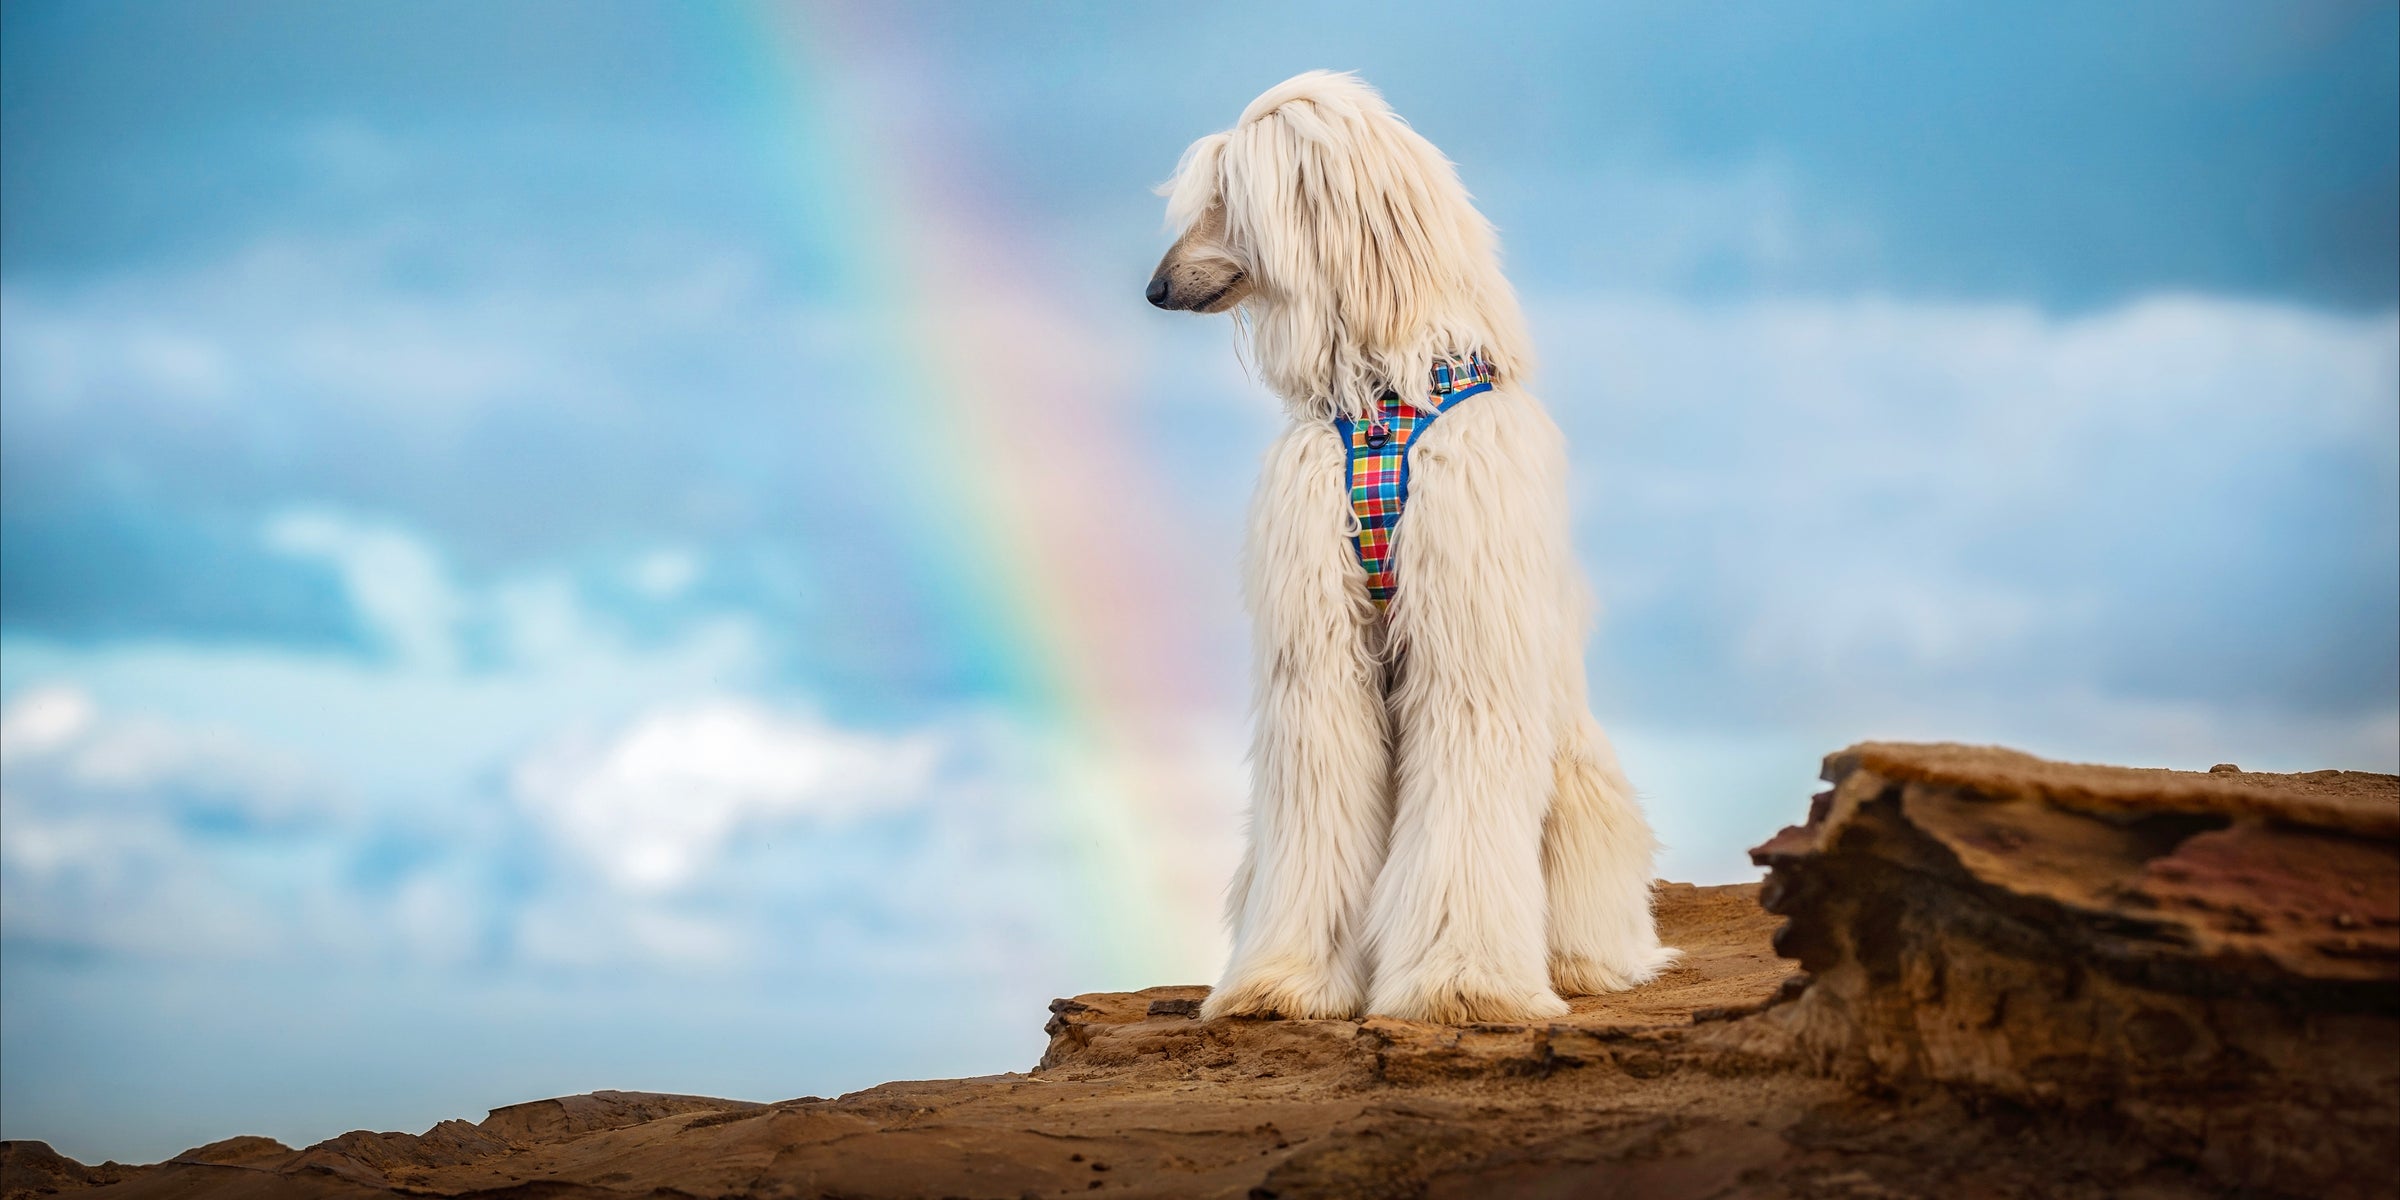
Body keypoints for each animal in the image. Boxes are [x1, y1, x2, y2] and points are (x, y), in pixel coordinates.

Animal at [1147, 70, 1680, 1022]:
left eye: (1226, 197)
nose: (1155, 288)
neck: (1384, 391)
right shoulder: (1318, 649)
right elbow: (1318, 787)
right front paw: (1284, 980)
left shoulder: (1469, 643)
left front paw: (1461, 983)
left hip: (1581, 782)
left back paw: (1586, 964)